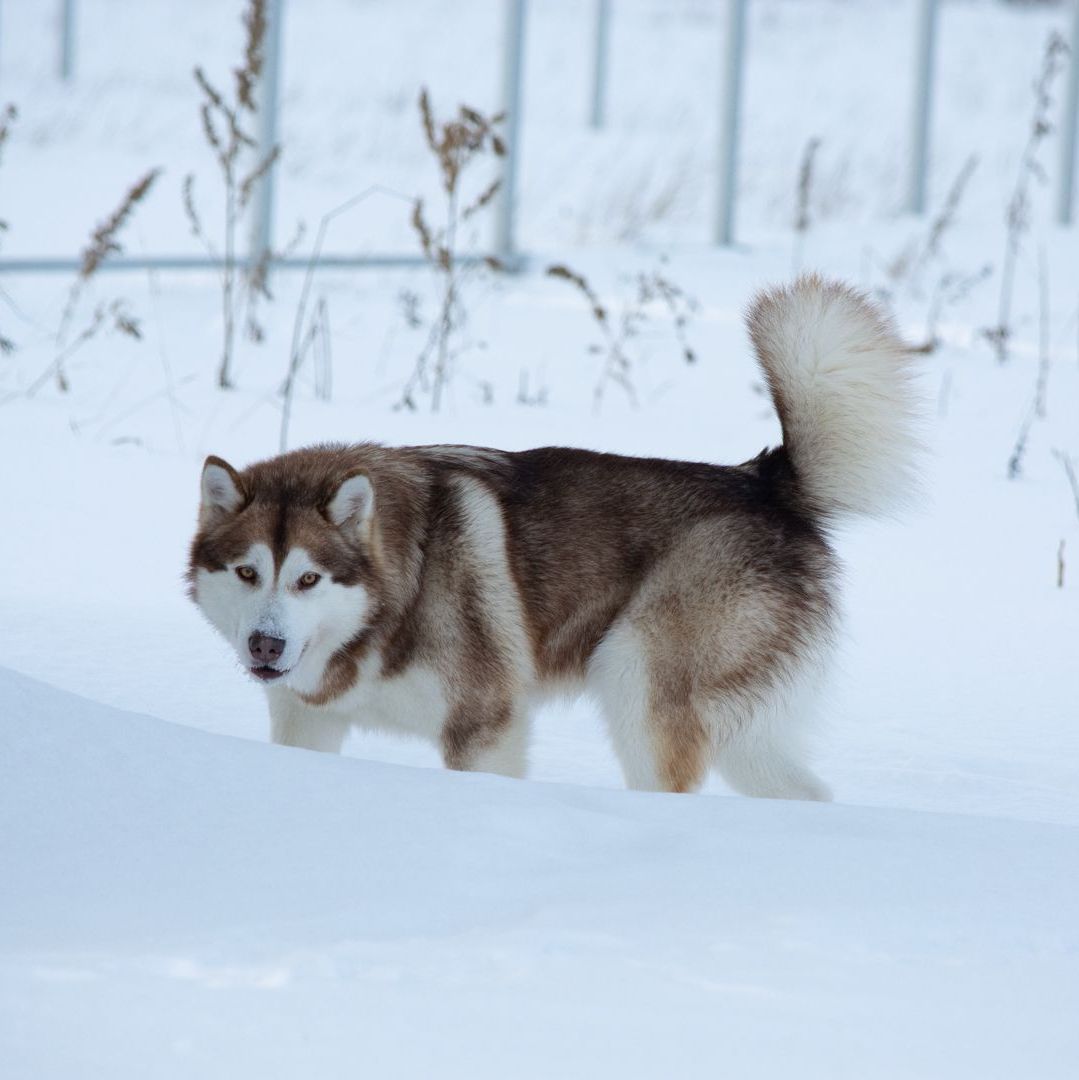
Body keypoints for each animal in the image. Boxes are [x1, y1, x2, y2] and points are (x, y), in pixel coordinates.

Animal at [187, 276, 920, 803]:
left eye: (308, 578)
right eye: (248, 573)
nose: (265, 643)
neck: (401, 592)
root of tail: (765, 482)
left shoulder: (484, 729)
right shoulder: (307, 723)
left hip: (638, 686)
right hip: (739, 728)